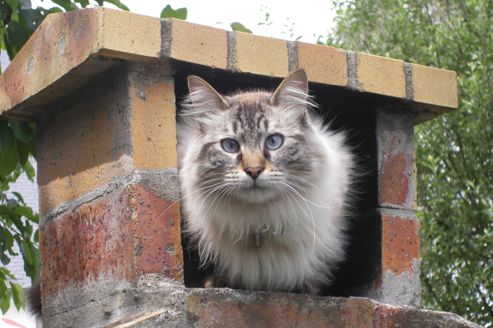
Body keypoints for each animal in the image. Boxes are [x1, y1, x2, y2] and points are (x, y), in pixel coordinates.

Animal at [177, 68, 354, 294]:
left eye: (273, 141)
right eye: (230, 146)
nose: (253, 171)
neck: (260, 223)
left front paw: (301, 287)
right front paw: (216, 281)